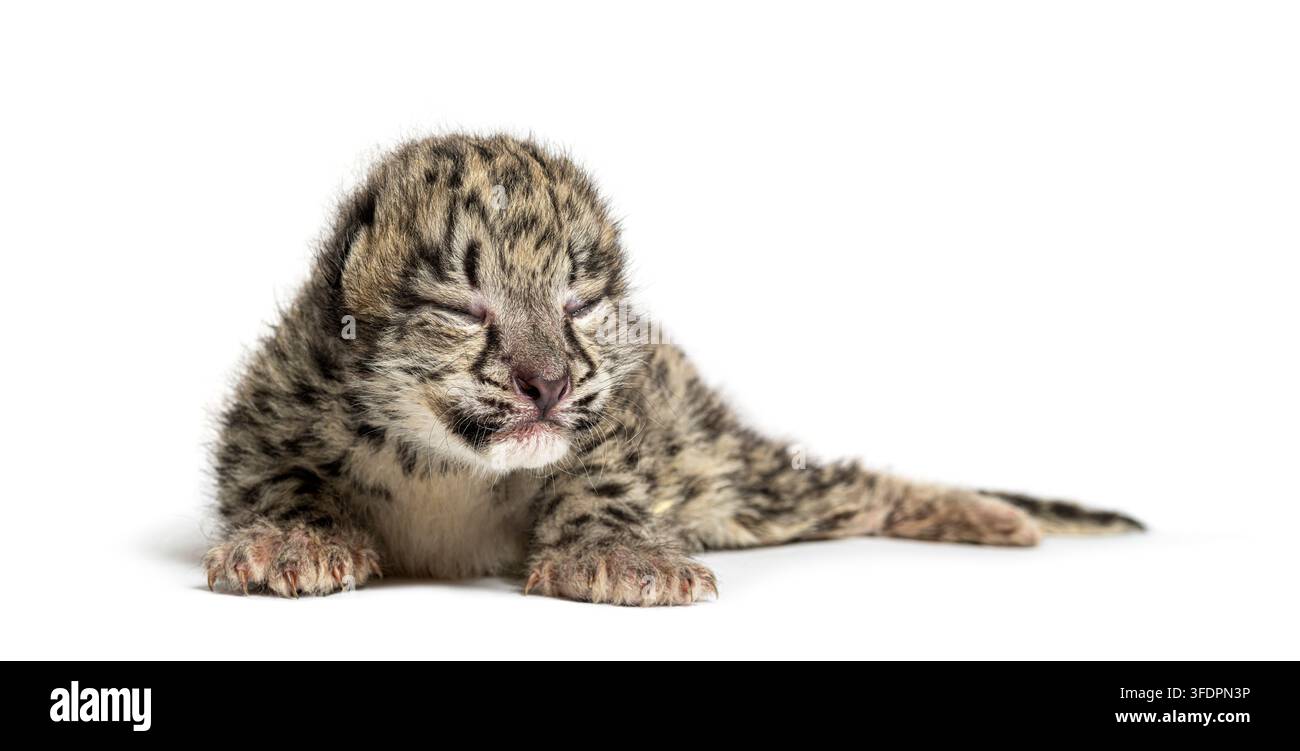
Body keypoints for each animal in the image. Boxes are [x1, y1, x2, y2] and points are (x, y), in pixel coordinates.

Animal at [203, 134, 1143, 605]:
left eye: (579, 303)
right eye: (467, 308)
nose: (547, 382)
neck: (445, 465)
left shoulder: (618, 410)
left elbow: (602, 472)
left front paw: (620, 557)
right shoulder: (272, 403)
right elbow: (277, 473)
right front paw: (294, 537)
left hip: (741, 479)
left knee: (851, 485)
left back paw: (991, 516)